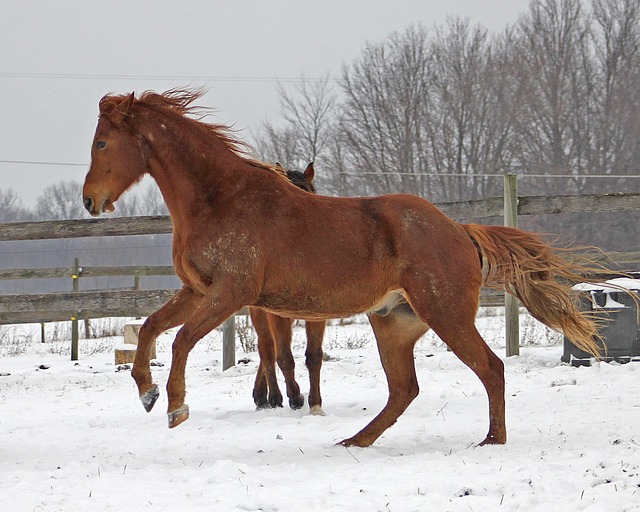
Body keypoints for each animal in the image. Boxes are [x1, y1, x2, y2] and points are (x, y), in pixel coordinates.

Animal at [251, 164, 328, 412]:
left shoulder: (318, 313)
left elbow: (314, 356)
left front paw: (315, 402)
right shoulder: (276, 315)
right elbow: (283, 356)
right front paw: (295, 397)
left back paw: (261, 394)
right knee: (266, 348)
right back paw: (270, 397)